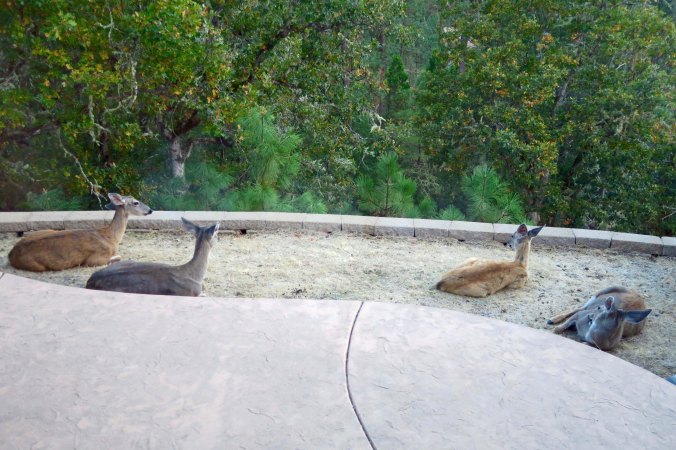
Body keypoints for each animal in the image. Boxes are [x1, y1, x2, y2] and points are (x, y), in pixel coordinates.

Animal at [8, 193, 152, 272]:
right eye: (136, 202)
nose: (150, 210)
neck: (111, 237)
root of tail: (11, 254)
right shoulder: (95, 259)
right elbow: (119, 257)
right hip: (38, 266)